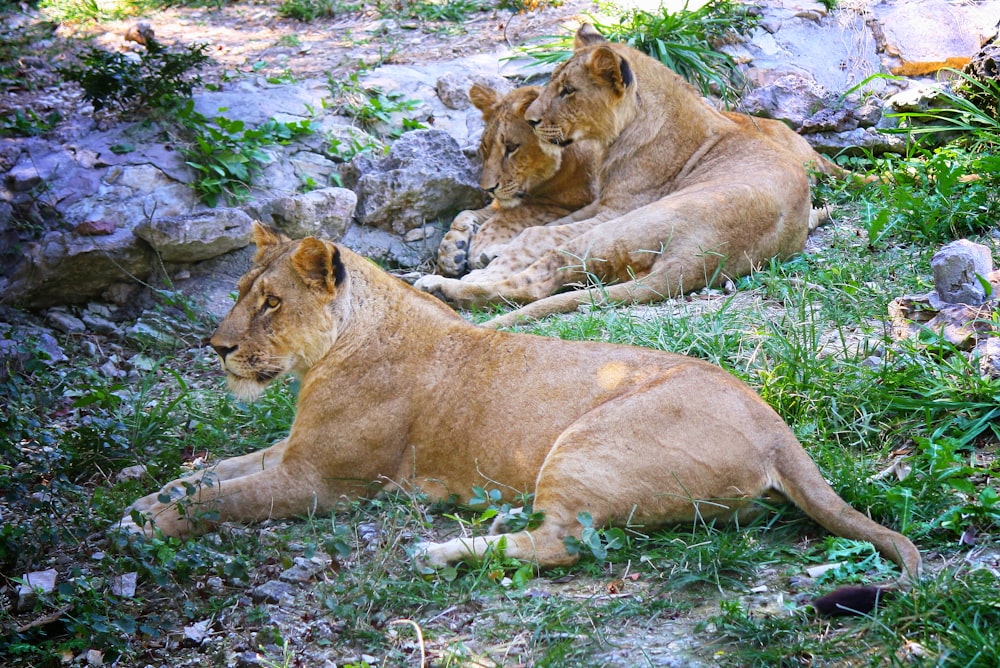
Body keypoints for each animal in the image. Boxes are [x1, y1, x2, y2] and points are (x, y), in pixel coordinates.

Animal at [123, 223, 920, 612]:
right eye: (239, 292)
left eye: (271, 303)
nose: (217, 347)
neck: (333, 350)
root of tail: (774, 423)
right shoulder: (293, 452)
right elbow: (210, 474)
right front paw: (142, 504)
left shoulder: (320, 482)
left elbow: (223, 499)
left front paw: (151, 525)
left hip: (583, 443)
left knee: (565, 547)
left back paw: (442, 553)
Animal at [438, 84, 600, 276]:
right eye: (485, 146)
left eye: (511, 147)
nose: (487, 189)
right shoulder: (503, 201)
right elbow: (466, 213)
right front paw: (451, 249)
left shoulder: (573, 201)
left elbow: (518, 213)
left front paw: (481, 243)